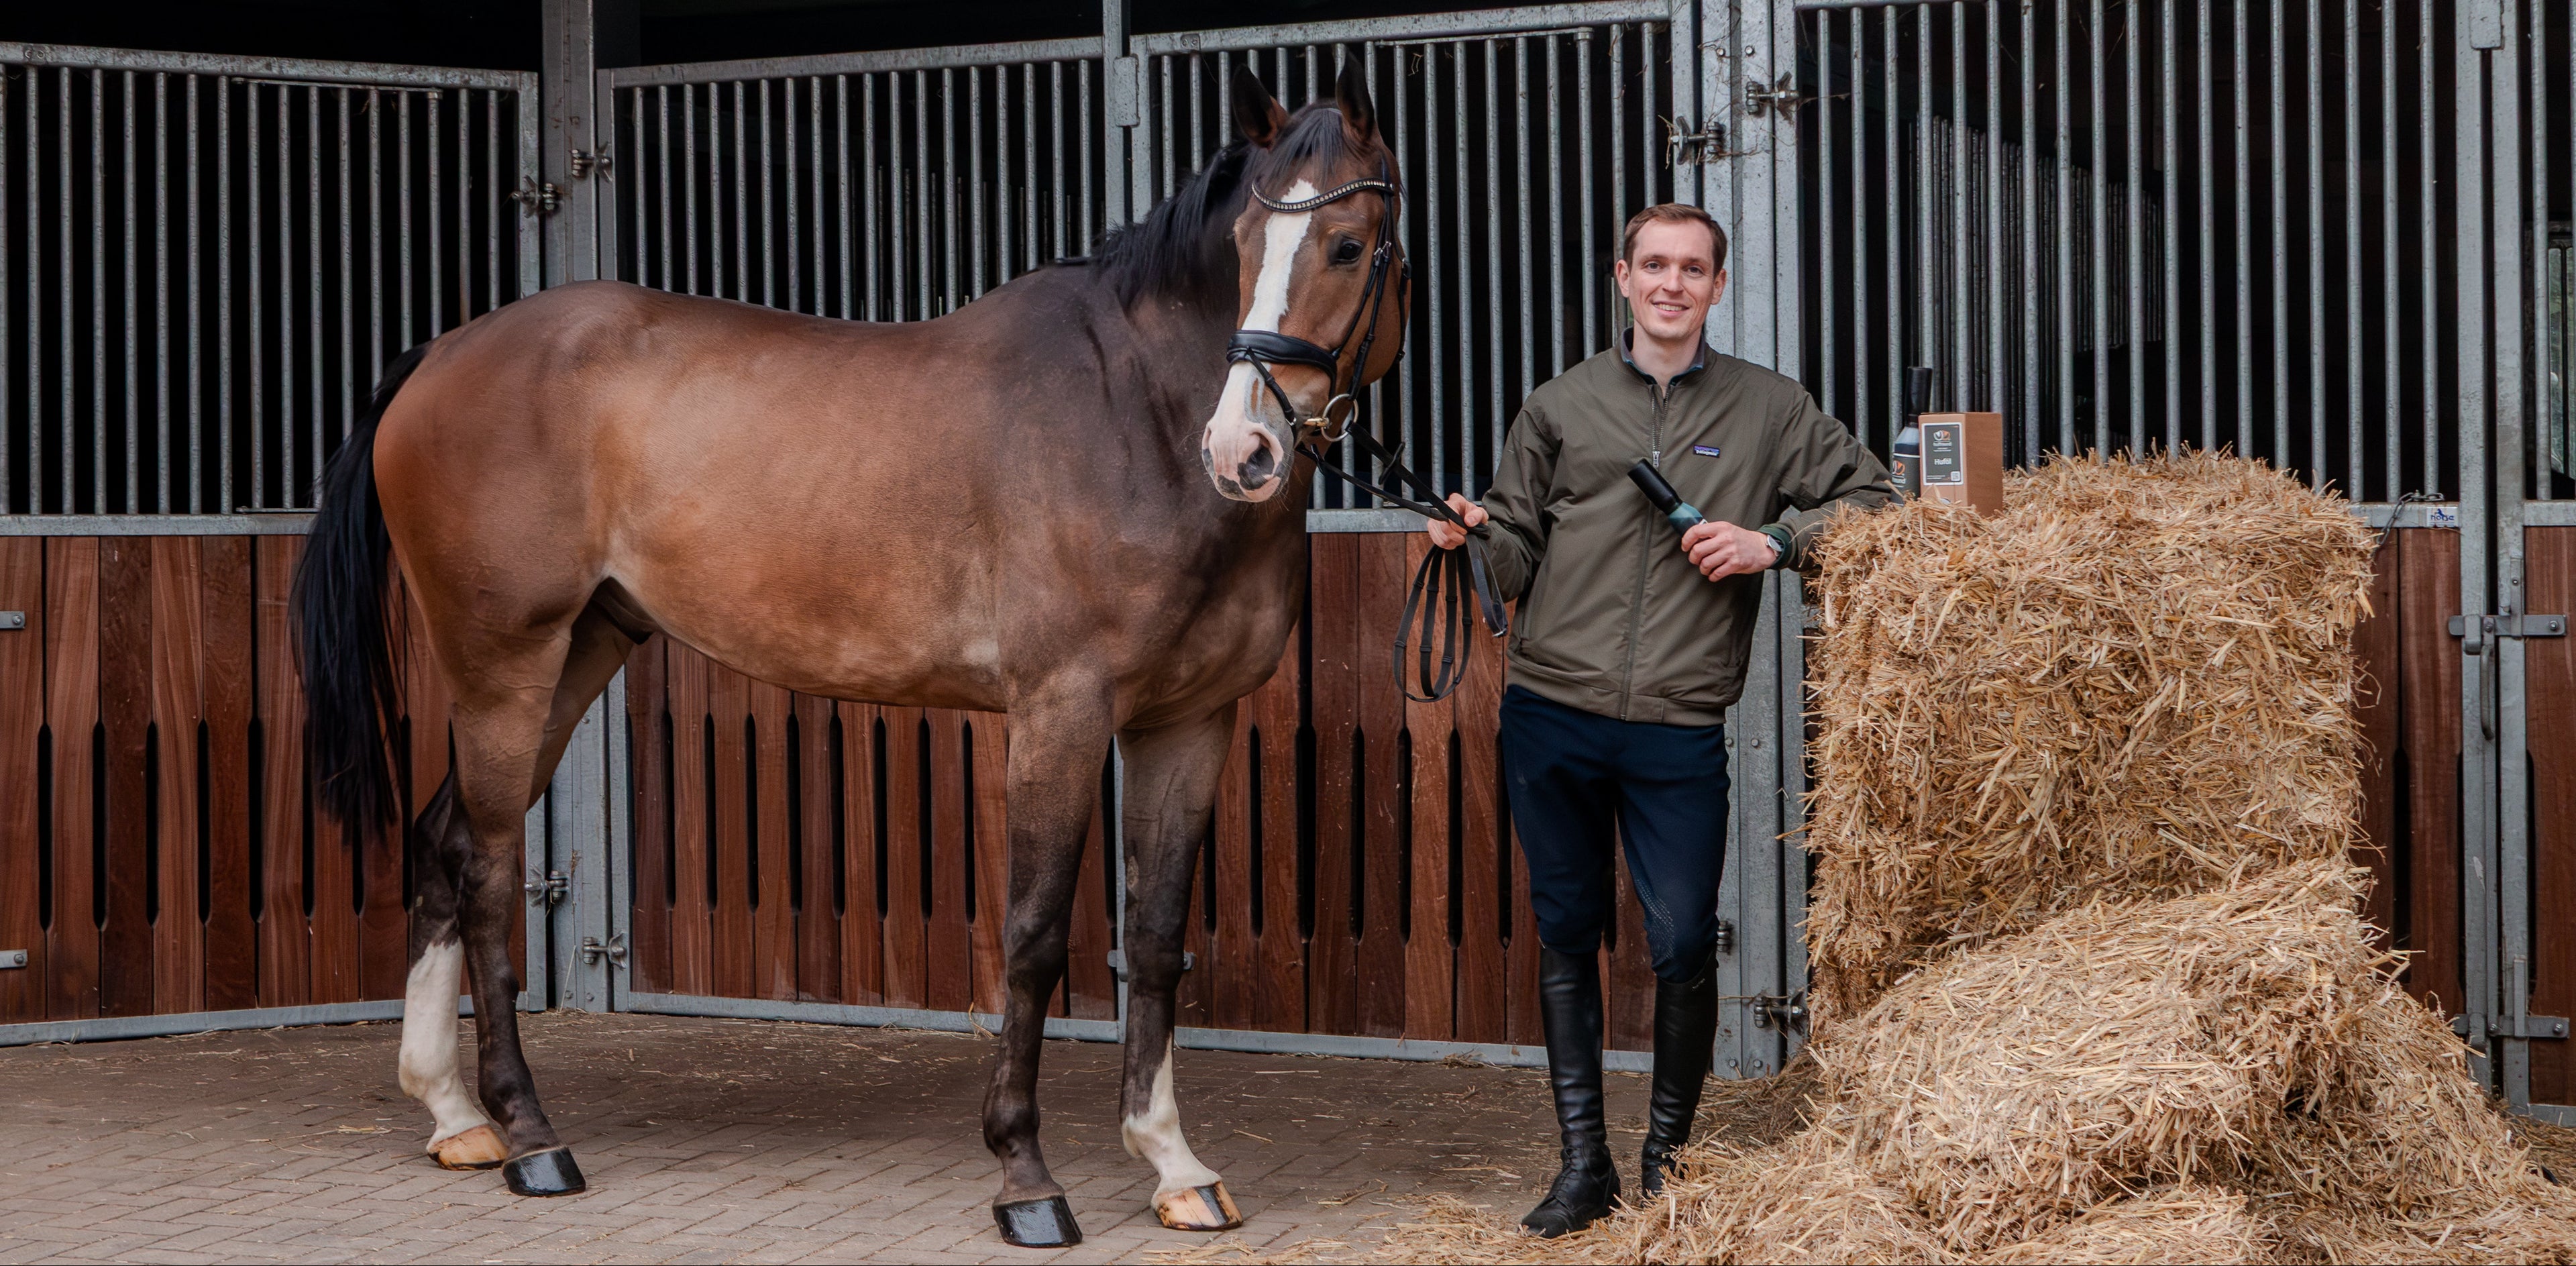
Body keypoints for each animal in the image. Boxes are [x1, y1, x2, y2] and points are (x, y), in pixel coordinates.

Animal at [290, 58, 1405, 1248]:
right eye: (1242, 245)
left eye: (1346, 246)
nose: (1242, 450)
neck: (1134, 416)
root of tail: (441, 355)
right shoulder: (1061, 713)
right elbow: (1034, 935)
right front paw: (1025, 1177)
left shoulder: (1188, 721)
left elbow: (1153, 939)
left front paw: (1174, 1164)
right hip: (504, 659)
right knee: (491, 868)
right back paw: (534, 1138)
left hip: (577, 652)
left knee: (444, 840)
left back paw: (456, 1115)